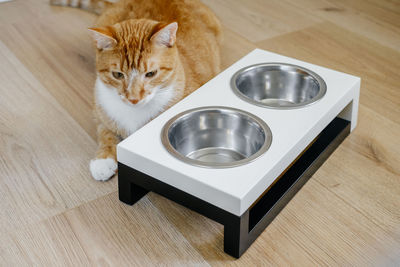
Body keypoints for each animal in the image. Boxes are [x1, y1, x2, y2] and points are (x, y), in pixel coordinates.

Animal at [50, 0, 222, 181]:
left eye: (151, 73)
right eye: (117, 74)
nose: (133, 98)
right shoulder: (100, 112)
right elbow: (106, 134)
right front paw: (103, 160)